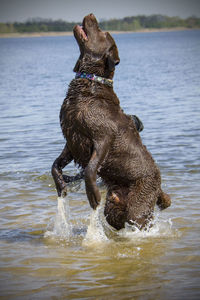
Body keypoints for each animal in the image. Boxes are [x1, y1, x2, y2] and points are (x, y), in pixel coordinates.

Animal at [51, 13, 170, 230]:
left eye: (102, 31)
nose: (91, 15)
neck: (91, 82)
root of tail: (159, 185)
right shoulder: (71, 139)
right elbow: (55, 165)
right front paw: (61, 185)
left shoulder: (103, 138)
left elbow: (90, 168)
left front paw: (93, 195)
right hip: (114, 207)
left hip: (139, 205)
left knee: (140, 219)